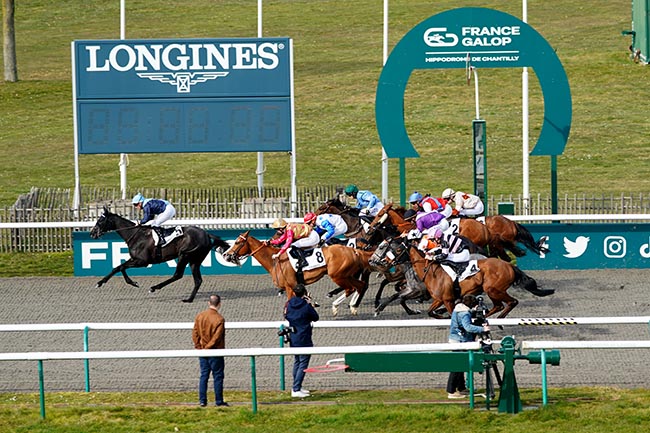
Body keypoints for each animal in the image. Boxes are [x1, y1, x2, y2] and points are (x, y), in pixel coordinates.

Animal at [88, 207, 230, 302]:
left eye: (100, 221)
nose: (92, 233)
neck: (136, 235)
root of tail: (206, 234)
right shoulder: (134, 259)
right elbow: (118, 267)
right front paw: (104, 282)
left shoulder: (142, 261)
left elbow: (121, 267)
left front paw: (103, 282)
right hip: (195, 260)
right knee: (197, 280)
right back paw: (189, 299)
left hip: (184, 255)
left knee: (178, 275)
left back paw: (154, 288)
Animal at [220, 230, 372, 314]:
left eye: (237, 242)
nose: (225, 255)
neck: (275, 261)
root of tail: (354, 250)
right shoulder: (297, 286)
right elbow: (306, 299)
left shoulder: (290, 287)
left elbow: (289, 304)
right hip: (347, 275)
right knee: (360, 286)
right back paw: (353, 306)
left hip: (338, 276)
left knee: (351, 288)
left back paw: (336, 306)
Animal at [370, 236, 552, 318]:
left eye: (385, 247)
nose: (375, 261)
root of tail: (509, 266)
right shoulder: (429, 294)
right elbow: (398, 296)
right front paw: (379, 308)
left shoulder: (428, 293)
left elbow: (400, 297)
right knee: (498, 304)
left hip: (492, 289)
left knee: (507, 303)